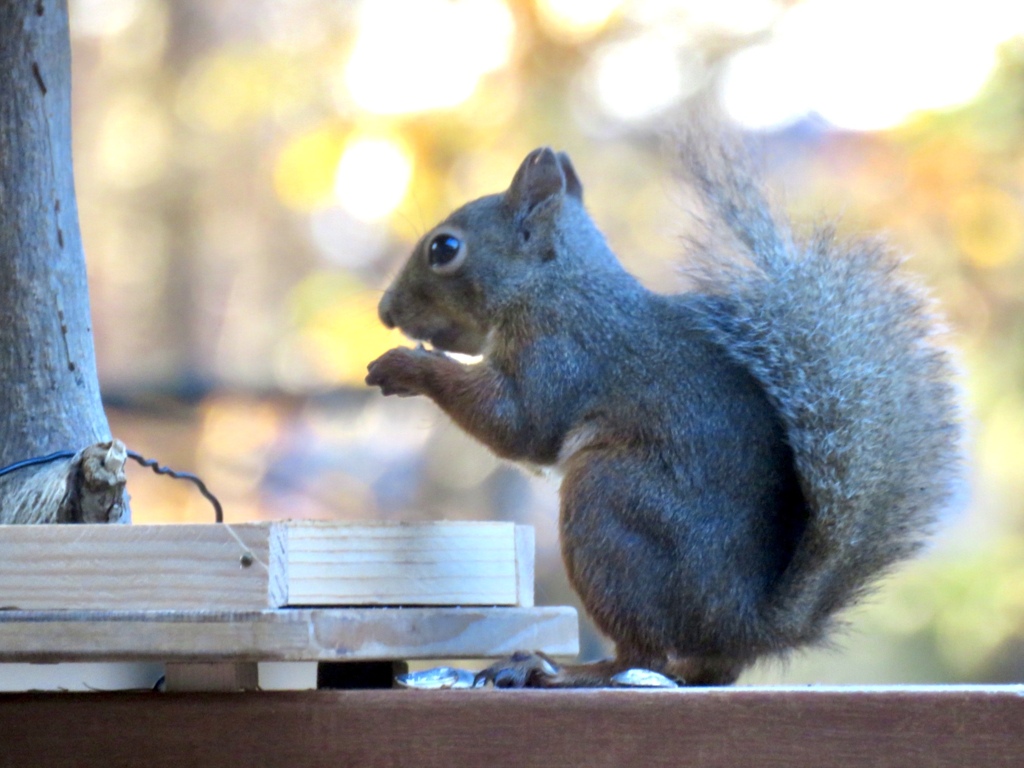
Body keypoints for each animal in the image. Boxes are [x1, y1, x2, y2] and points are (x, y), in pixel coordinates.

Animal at [366, 129, 958, 688]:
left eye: (444, 248)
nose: (386, 312)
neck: (552, 284)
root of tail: (742, 622)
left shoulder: (564, 352)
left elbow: (519, 425)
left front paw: (407, 367)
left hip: (608, 504)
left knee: (643, 657)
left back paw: (561, 670)